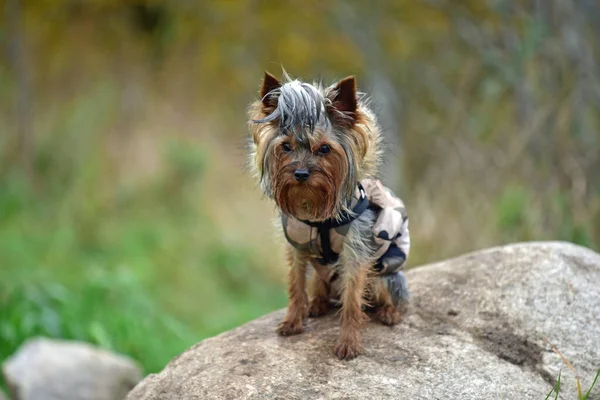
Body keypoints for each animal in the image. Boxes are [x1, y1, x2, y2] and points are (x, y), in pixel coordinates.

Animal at [246, 71, 410, 360]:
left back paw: (390, 312)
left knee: (393, 297)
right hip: (319, 274)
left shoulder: (355, 254)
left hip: (385, 276)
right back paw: (317, 304)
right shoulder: (297, 250)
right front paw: (293, 322)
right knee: (319, 290)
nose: (300, 173)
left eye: (324, 149)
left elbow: (353, 302)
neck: (317, 213)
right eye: (286, 147)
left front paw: (349, 342)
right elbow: (296, 286)